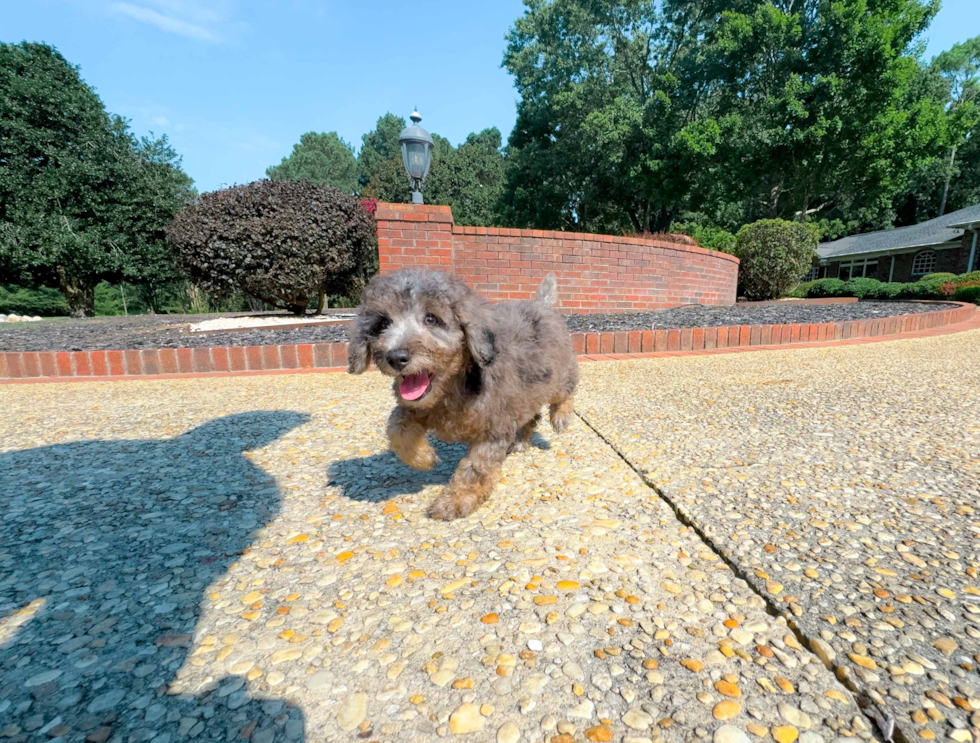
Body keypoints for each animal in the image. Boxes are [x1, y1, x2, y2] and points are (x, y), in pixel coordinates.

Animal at [348, 270, 580, 520]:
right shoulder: (416, 407)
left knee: (566, 390)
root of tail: (541, 303)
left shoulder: (493, 429)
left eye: (431, 319)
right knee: (531, 415)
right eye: (383, 323)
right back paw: (519, 441)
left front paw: (455, 500)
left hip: (556, 374)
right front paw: (422, 458)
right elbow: (397, 426)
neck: (451, 387)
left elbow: (475, 468)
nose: (396, 357)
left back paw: (560, 417)